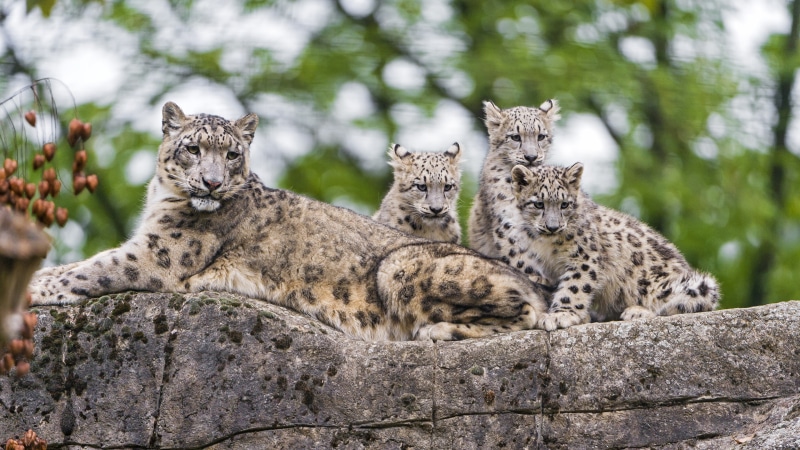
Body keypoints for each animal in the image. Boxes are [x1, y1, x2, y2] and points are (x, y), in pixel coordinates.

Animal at [29, 101, 550, 342]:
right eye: (193, 147)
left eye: (232, 154)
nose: (212, 183)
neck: (163, 200)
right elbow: (76, 264)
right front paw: (35, 277)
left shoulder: (155, 255)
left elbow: (92, 268)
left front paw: (36, 289)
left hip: (400, 268)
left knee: (528, 314)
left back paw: (437, 331)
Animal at [509, 162, 720, 330]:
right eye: (538, 204)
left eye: (564, 204)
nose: (552, 227)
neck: (548, 247)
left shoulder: (584, 257)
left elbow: (574, 287)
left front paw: (560, 315)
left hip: (681, 285)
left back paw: (637, 311)